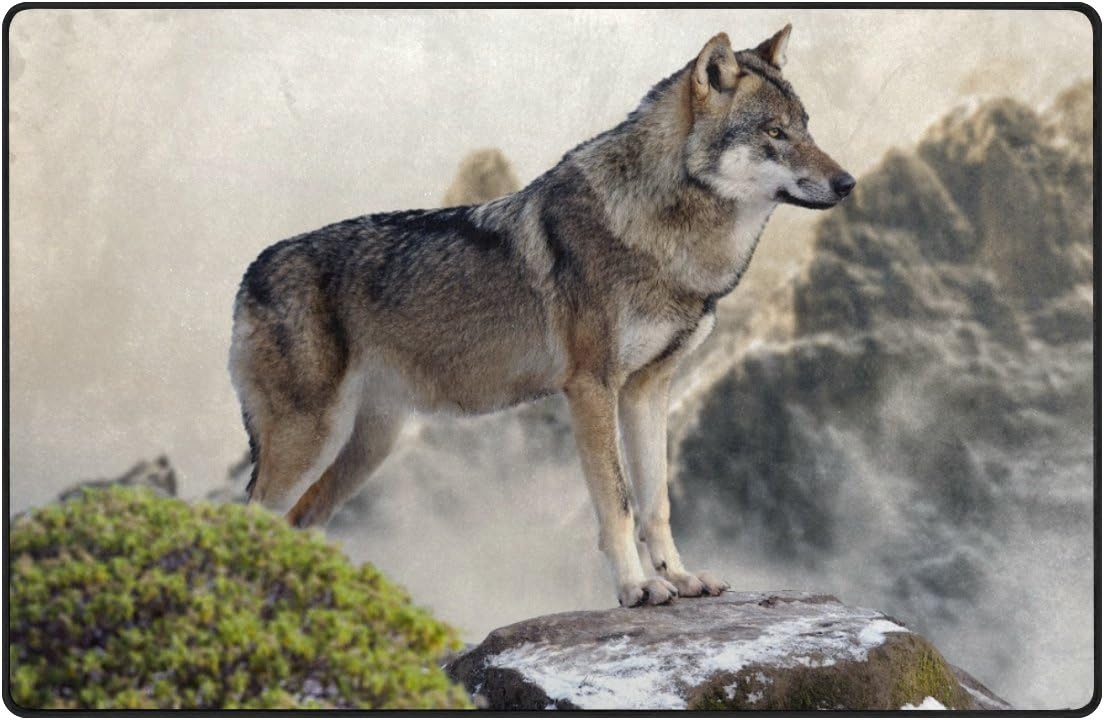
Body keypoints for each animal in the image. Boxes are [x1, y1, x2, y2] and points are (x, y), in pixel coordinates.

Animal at [229, 26, 854, 608]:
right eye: (774, 133)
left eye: (806, 127)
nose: (847, 183)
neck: (664, 236)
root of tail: (250, 272)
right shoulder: (592, 388)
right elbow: (619, 503)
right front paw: (636, 588)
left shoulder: (648, 390)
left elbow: (657, 502)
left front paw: (680, 578)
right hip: (310, 440)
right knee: (248, 520)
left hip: (365, 449)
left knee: (301, 523)